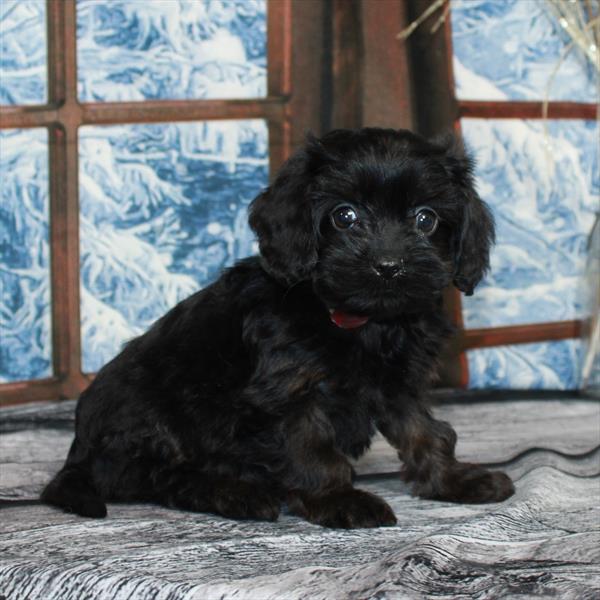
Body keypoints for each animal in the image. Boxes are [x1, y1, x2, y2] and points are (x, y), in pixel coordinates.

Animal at [42, 129, 512, 528]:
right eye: (345, 216)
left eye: (425, 219)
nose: (389, 266)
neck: (356, 318)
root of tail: (79, 451)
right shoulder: (291, 393)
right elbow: (313, 449)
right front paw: (338, 499)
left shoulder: (399, 385)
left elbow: (425, 431)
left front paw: (452, 479)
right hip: (151, 416)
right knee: (163, 476)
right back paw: (236, 493)